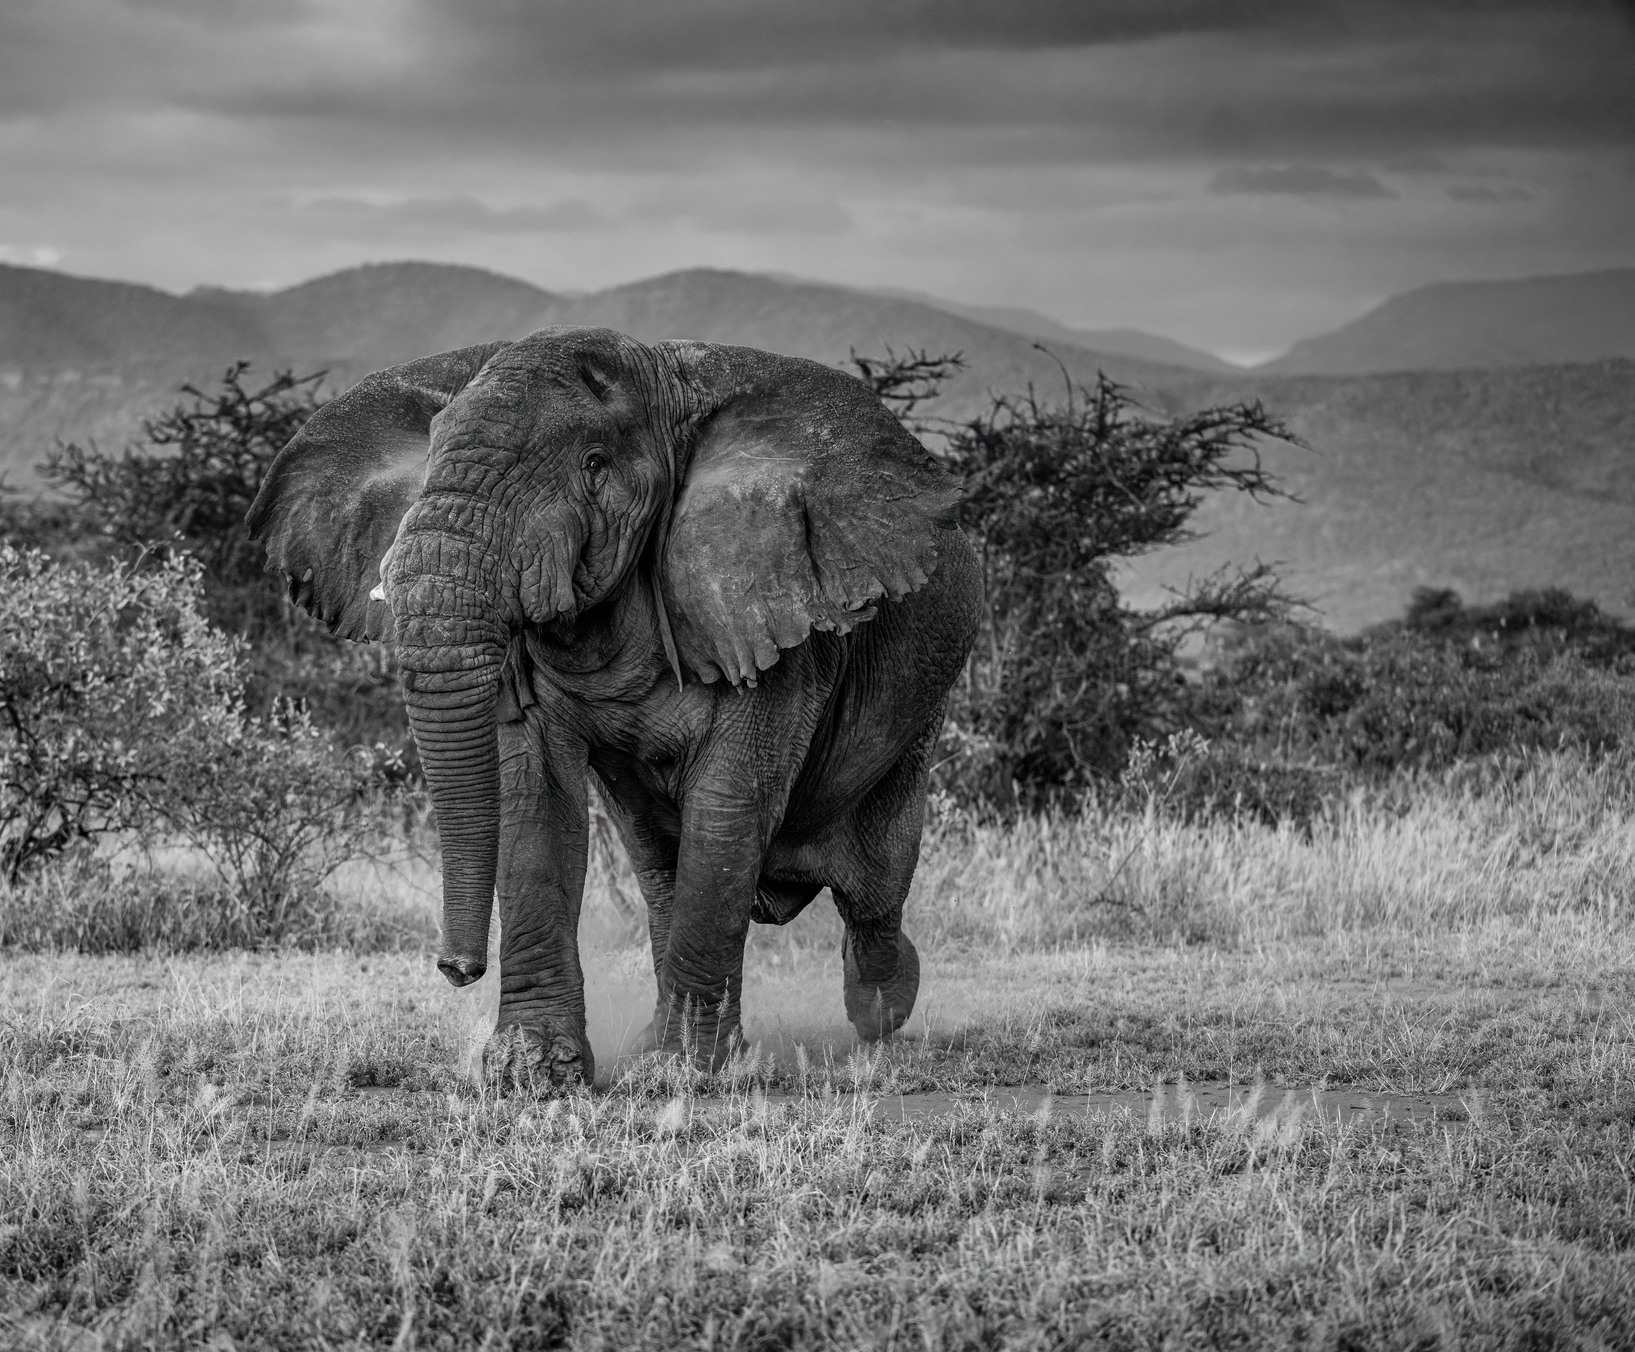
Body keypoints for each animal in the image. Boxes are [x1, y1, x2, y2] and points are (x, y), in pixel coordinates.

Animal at [246, 326, 982, 1088]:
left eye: (594, 465)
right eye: (431, 450)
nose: (455, 968)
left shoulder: (773, 604)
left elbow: (729, 803)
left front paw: (676, 1076)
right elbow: (534, 797)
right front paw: (531, 1072)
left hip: (919, 713)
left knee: (874, 890)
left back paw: (880, 1008)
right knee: (662, 870)